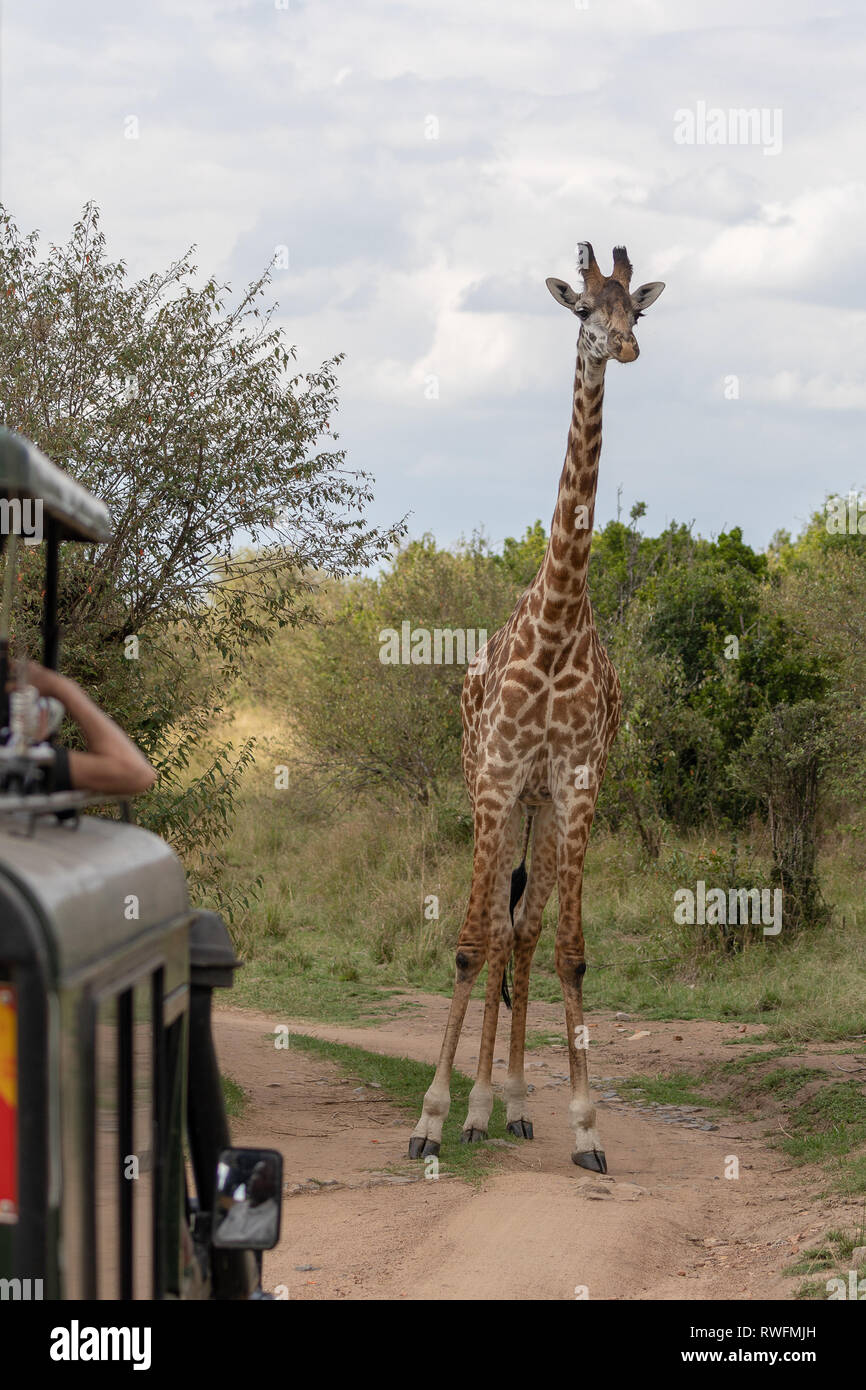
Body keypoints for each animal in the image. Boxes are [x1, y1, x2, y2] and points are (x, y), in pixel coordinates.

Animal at [408, 241, 667, 1173]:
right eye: (583, 310)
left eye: (638, 309)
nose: (624, 347)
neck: (556, 628)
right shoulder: (493, 780)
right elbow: (466, 941)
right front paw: (431, 1116)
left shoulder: (576, 786)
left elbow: (569, 950)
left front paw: (587, 1126)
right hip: (501, 796)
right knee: (491, 927)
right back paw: (476, 1108)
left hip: (540, 811)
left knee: (520, 928)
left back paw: (513, 1104)